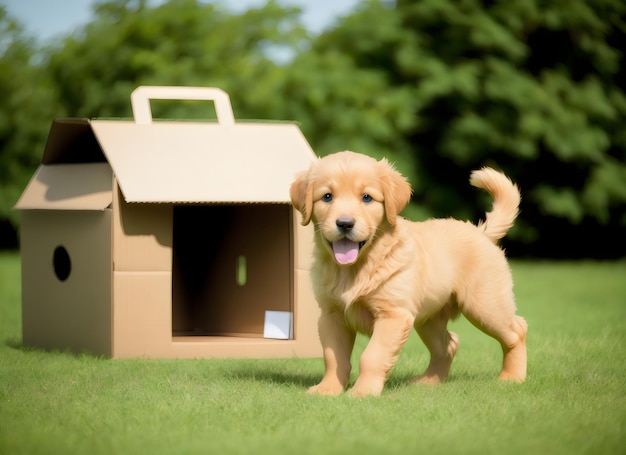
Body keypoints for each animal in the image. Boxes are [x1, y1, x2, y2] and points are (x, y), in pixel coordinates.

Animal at [290, 151, 524, 398]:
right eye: (327, 197)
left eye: (366, 198)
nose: (345, 223)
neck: (356, 267)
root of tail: (481, 232)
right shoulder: (331, 315)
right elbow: (333, 357)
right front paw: (328, 389)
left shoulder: (393, 314)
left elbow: (372, 356)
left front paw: (363, 391)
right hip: (429, 317)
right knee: (449, 344)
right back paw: (428, 382)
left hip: (485, 304)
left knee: (517, 331)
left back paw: (512, 377)